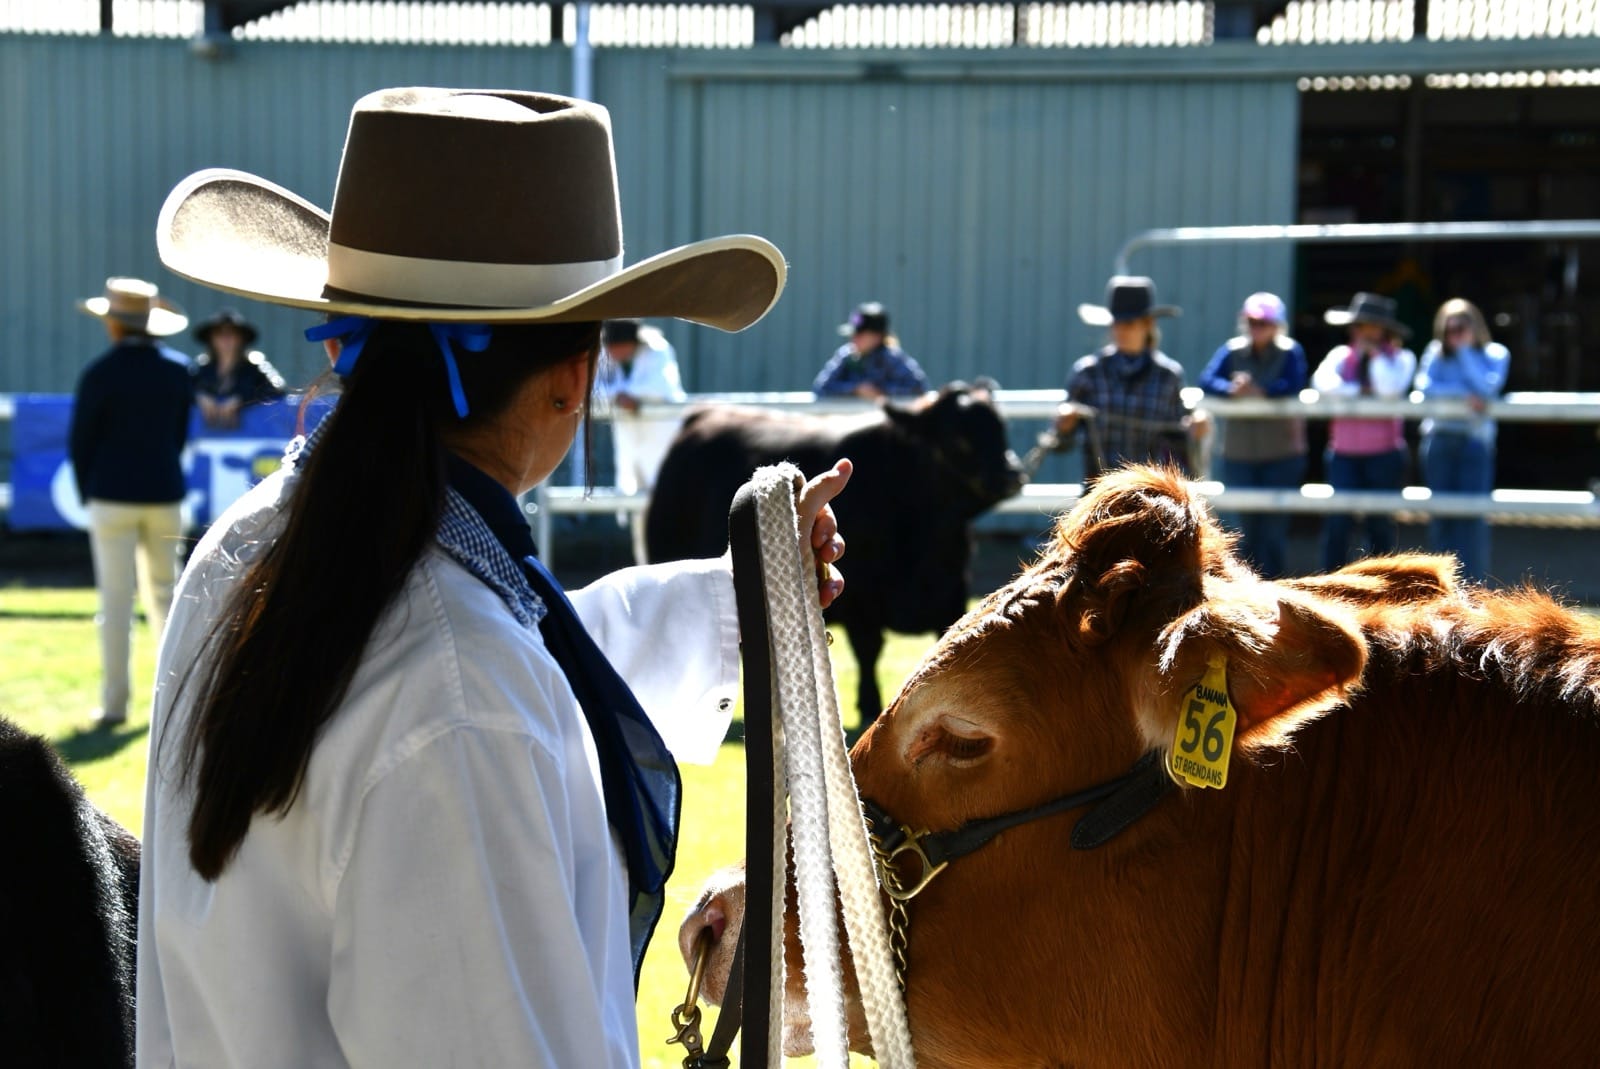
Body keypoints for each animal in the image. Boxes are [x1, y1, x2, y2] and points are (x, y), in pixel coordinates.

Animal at [645, 382, 1024, 723]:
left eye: (1000, 428)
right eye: (956, 438)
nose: (1011, 474)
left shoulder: (952, 591)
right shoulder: (862, 602)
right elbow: (868, 650)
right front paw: (870, 705)